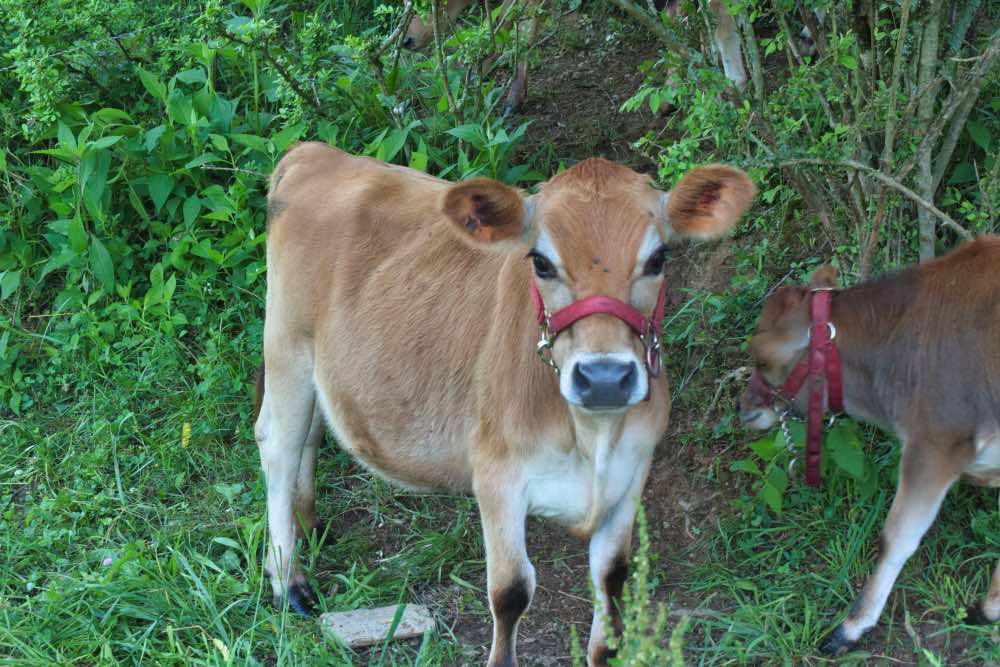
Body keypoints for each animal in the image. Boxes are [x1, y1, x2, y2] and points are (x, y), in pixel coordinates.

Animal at [257, 141, 755, 666]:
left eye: (658, 258)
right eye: (541, 262)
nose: (603, 378)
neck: (591, 437)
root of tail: (316, 152)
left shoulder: (633, 472)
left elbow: (611, 579)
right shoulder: (496, 475)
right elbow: (511, 591)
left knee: (311, 433)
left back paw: (311, 524)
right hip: (287, 345)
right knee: (279, 446)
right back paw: (288, 581)